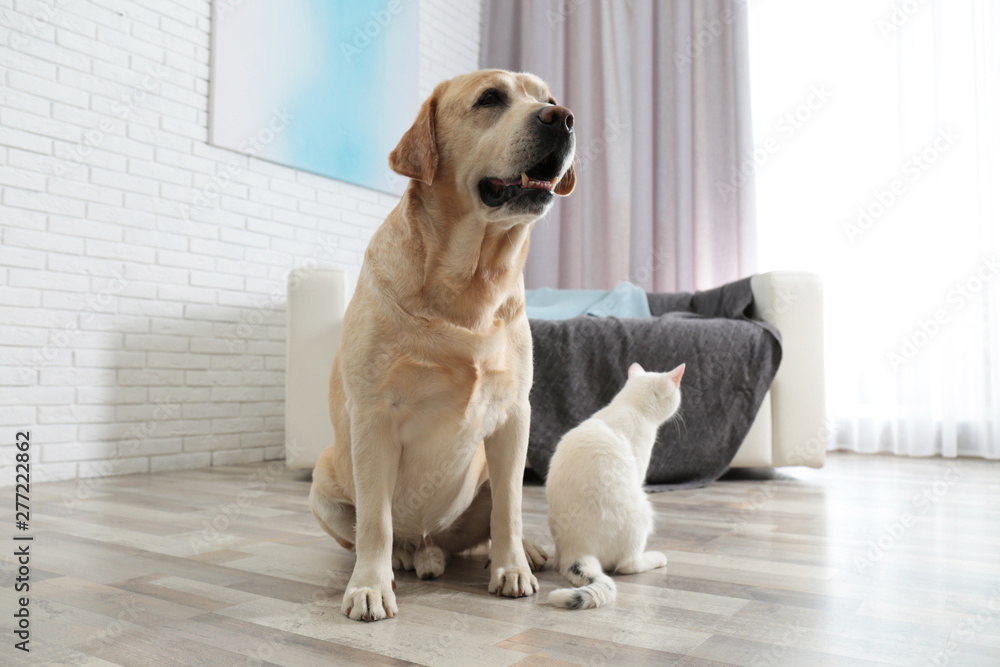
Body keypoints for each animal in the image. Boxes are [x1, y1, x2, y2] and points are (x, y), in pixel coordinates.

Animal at [312, 68, 580, 620]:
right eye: (490, 98)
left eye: (548, 98)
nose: (563, 118)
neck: (469, 287)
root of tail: (429, 544)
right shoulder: (373, 417)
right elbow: (376, 522)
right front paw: (370, 586)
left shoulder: (515, 416)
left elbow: (510, 509)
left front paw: (512, 568)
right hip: (323, 481)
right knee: (380, 532)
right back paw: (403, 557)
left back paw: (527, 551)